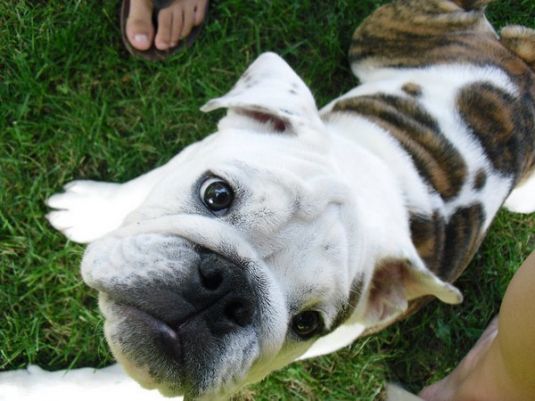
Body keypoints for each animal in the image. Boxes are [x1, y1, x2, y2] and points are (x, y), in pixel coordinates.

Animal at [47, 0, 535, 398]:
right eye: (216, 193)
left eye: (306, 325)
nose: (227, 292)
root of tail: (519, 66)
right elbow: (145, 184)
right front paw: (89, 207)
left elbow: (109, 385)